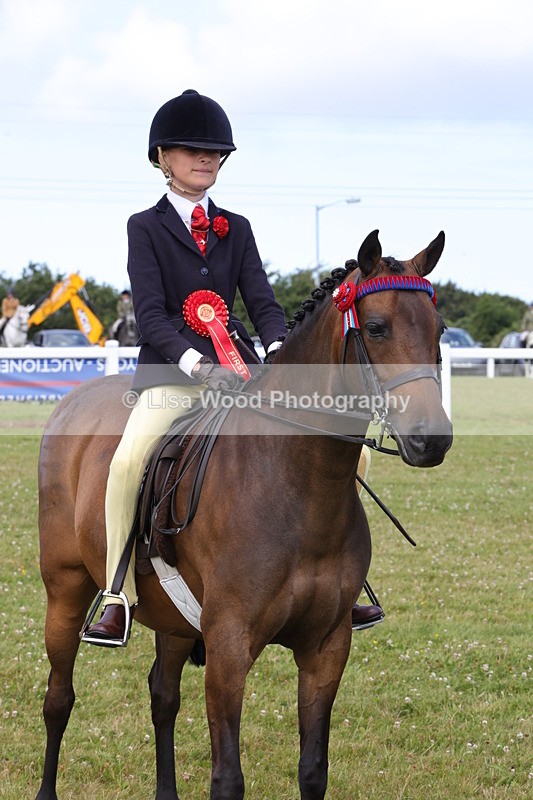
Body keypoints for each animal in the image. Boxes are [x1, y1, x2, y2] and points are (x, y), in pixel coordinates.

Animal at [35, 230, 453, 800]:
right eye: (375, 328)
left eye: (440, 329)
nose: (432, 440)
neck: (297, 487)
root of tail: (73, 400)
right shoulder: (229, 649)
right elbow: (227, 777)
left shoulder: (327, 648)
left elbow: (312, 770)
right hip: (66, 588)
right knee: (59, 699)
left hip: (174, 617)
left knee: (162, 697)